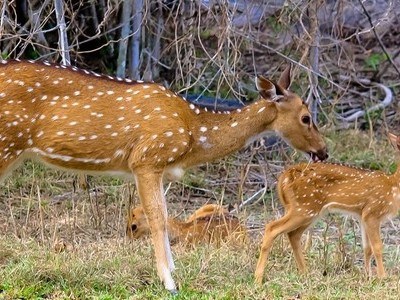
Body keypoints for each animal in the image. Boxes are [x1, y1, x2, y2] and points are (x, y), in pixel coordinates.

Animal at [0, 59, 328, 292]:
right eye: (306, 117)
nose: (323, 151)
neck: (193, 132)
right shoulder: (146, 159)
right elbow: (157, 218)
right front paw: (169, 282)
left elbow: (165, 215)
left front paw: (173, 272)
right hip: (7, 141)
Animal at [255, 133, 400, 284]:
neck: (393, 186)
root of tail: (284, 177)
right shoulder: (373, 211)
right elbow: (377, 247)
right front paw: (382, 277)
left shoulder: (362, 215)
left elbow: (367, 248)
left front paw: (367, 277)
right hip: (304, 208)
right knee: (272, 228)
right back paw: (258, 278)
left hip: (308, 211)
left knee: (293, 235)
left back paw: (305, 273)